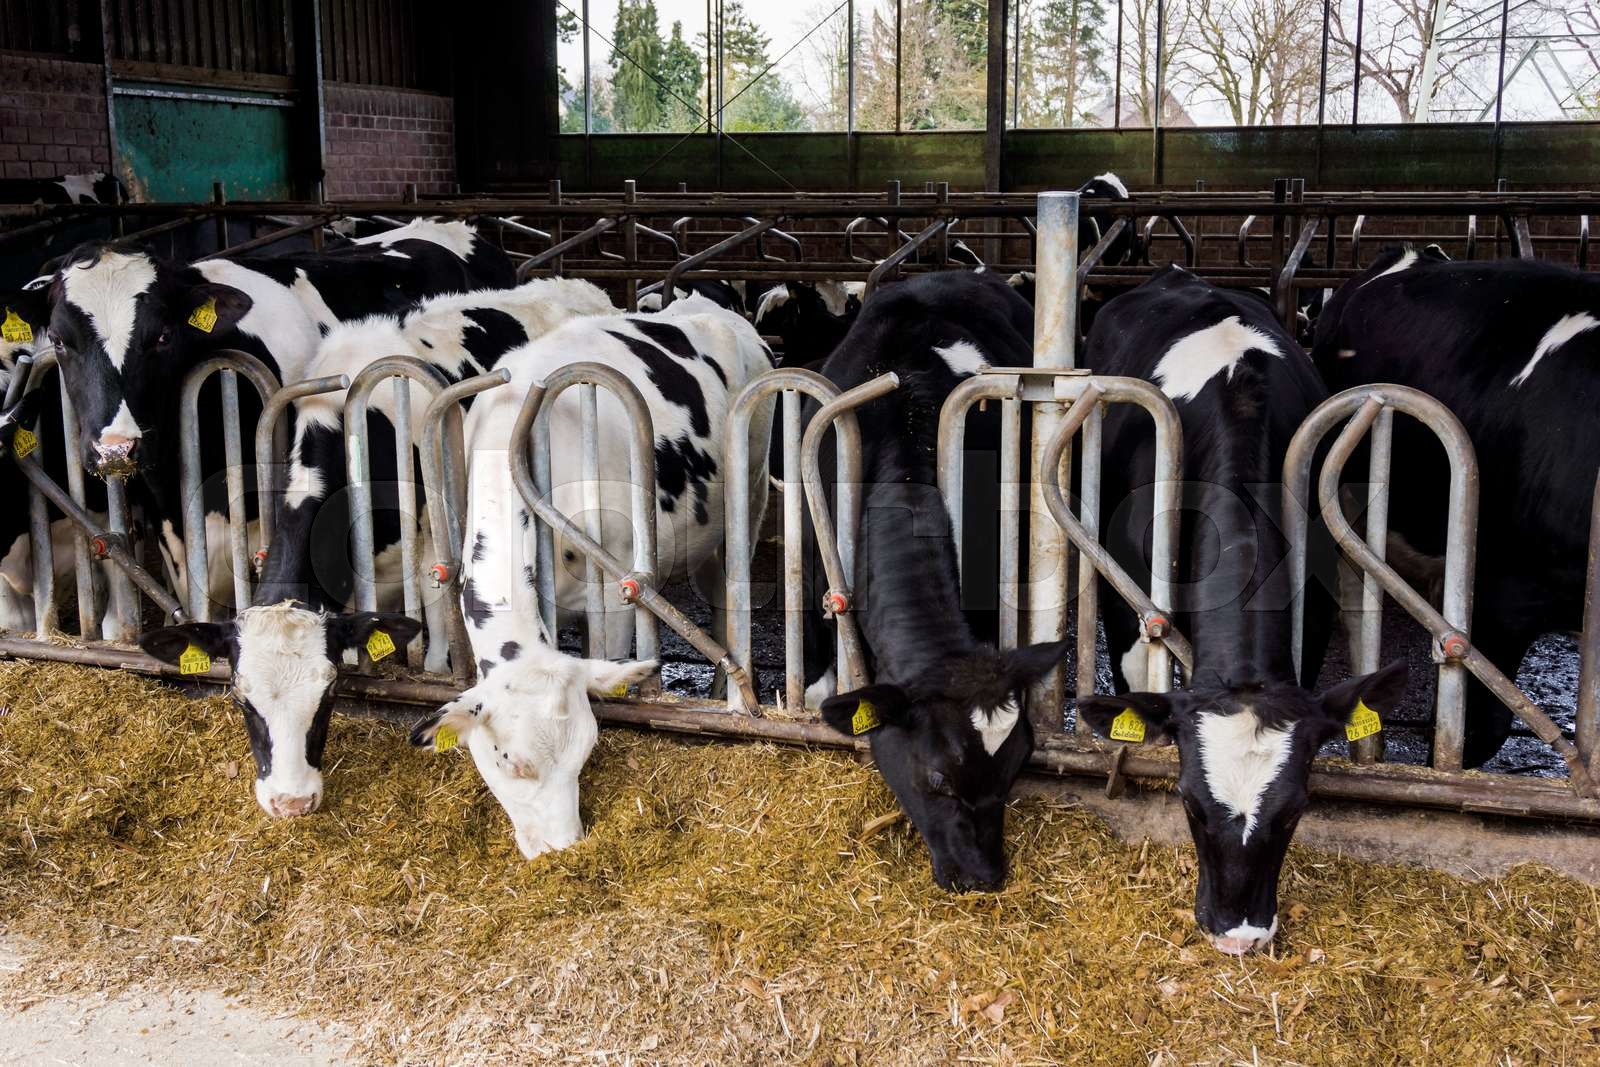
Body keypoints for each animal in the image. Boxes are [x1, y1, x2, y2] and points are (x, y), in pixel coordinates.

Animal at [407, 292, 773, 857]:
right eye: (512, 764)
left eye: (586, 753)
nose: (563, 849)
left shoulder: (617, 591)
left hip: (748, 494)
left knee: (726, 600)